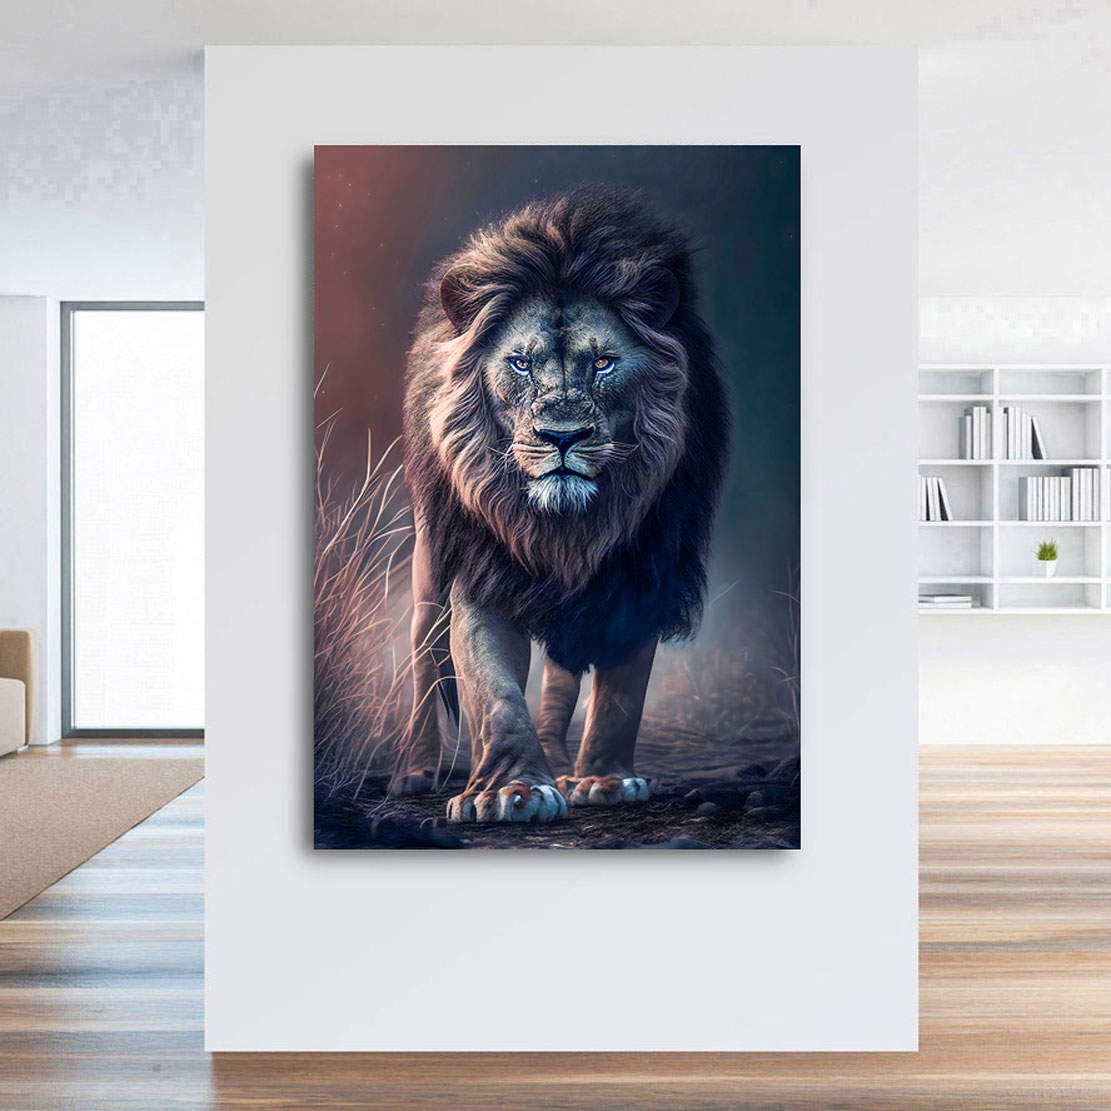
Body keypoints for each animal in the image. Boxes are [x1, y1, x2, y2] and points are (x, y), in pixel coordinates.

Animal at [391, 185, 728, 823]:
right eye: (520, 362)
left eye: (603, 362)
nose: (563, 437)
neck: (567, 527)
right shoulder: (481, 570)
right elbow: (493, 689)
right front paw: (509, 791)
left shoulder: (641, 573)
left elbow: (622, 693)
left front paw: (604, 779)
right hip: (428, 569)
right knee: (424, 657)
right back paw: (416, 771)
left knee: (559, 678)